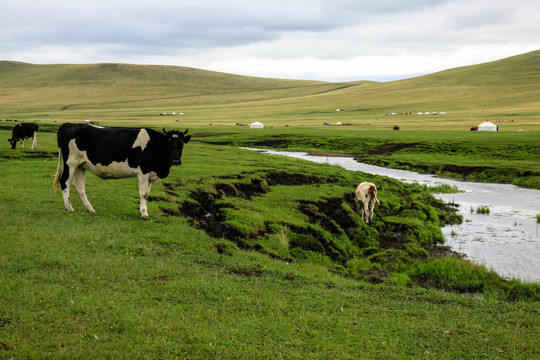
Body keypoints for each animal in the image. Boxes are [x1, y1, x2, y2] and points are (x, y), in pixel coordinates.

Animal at [52, 124, 191, 218]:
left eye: (181, 144)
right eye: (168, 143)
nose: (175, 160)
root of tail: (68, 124)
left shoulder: (150, 174)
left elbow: (147, 194)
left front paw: (143, 211)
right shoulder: (143, 171)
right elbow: (143, 193)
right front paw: (144, 213)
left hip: (82, 165)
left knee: (79, 186)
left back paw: (89, 208)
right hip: (71, 163)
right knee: (65, 181)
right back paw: (69, 208)